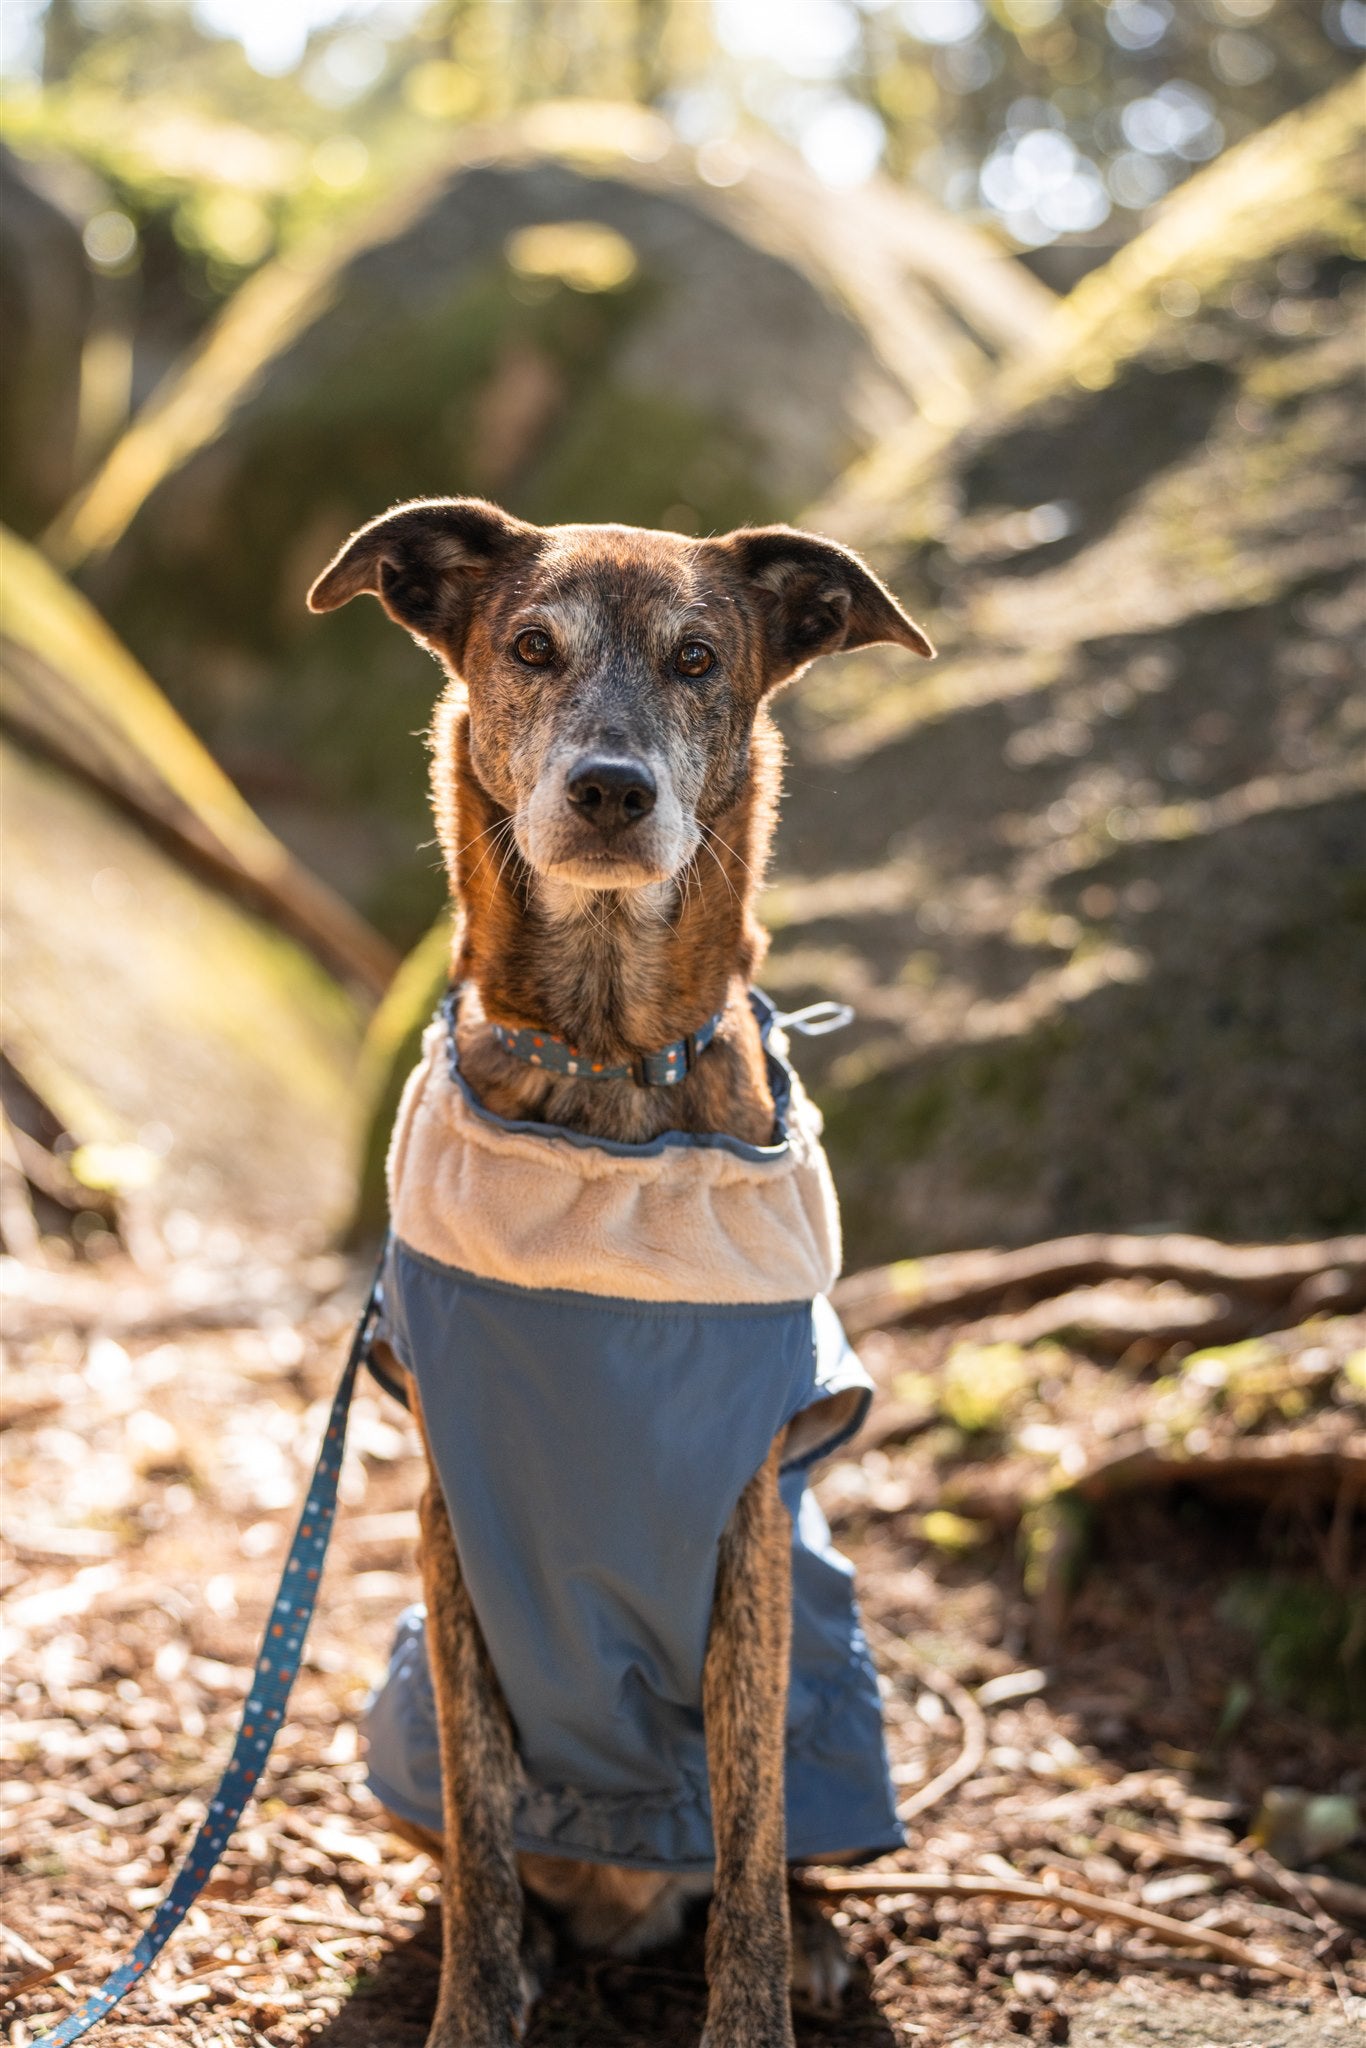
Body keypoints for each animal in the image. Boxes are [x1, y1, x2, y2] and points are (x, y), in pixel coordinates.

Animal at [307, 499, 929, 2048]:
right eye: (531, 648)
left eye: (699, 659)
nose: (608, 790)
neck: (598, 1065)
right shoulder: (452, 1520)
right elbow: (480, 1836)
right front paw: (473, 2004)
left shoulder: (745, 1526)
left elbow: (752, 1838)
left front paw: (758, 2005)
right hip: (395, 1704)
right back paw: (537, 1938)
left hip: (838, 1676)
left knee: (771, 1845)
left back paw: (816, 1945)